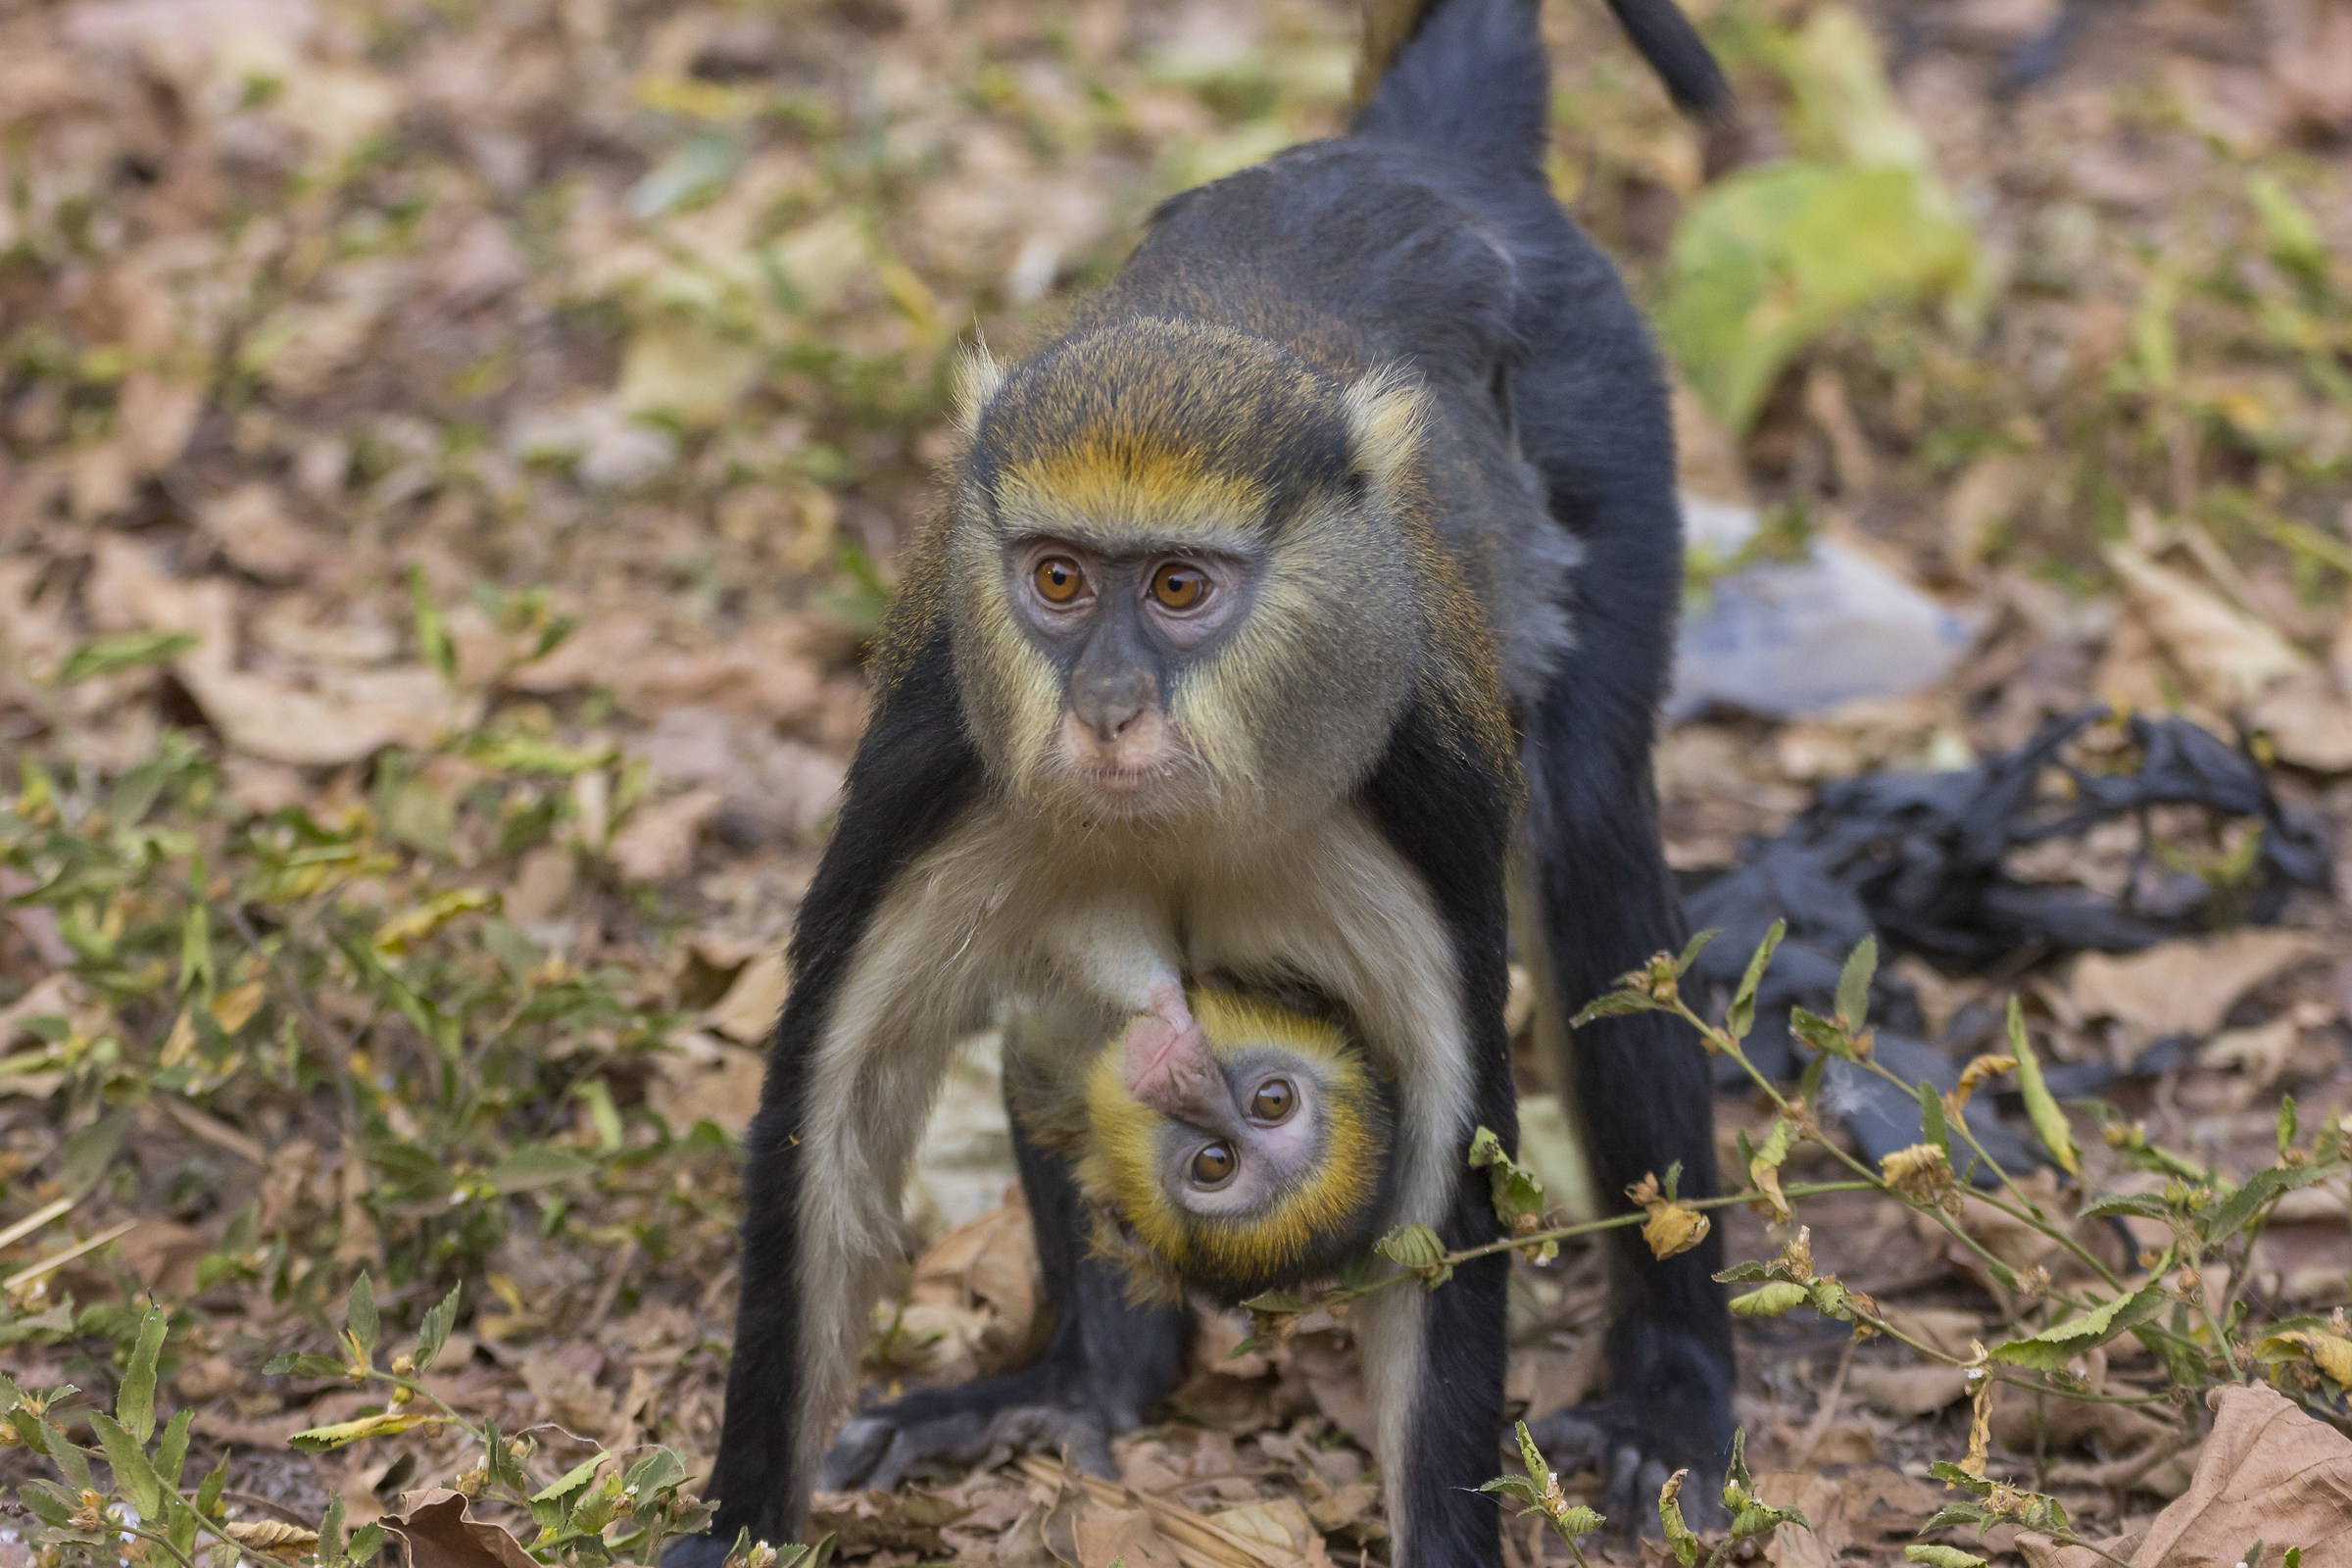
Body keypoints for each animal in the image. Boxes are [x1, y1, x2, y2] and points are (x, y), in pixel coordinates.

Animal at [665, 1, 1736, 1563]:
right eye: (1059, 580)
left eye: (1180, 590)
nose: (1107, 711)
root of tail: (1414, 155)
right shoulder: (933, 759)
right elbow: (829, 1116)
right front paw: (734, 1523)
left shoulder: (1416, 793)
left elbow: (1440, 1195)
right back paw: (1088, 1376)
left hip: (1605, 405)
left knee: (1592, 845)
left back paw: (1674, 1391)